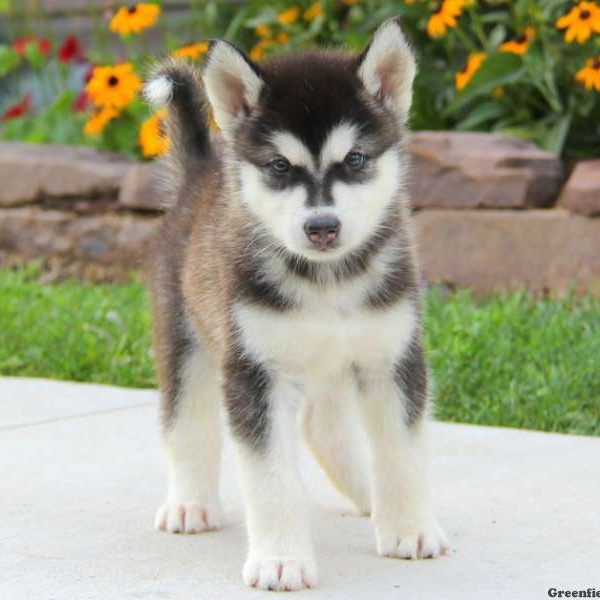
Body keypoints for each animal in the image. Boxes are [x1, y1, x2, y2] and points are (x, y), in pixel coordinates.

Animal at [144, 17, 446, 592]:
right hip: (186, 333)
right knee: (184, 422)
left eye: (355, 159)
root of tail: (201, 173)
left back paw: (368, 495)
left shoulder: (392, 358)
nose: (322, 227)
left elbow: (403, 452)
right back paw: (189, 503)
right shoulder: (255, 373)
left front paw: (409, 528)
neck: (328, 280)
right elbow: (271, 478)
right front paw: (281, 560)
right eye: (280, 166)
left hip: (330, 362)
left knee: (322, 427)